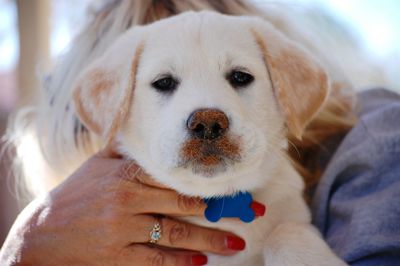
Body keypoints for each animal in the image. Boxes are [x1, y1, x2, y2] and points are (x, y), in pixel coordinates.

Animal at [72, 10, 346, 266]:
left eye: (240, 77)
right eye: (164, 82)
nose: (207, 124)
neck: (217, 200)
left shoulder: (292, 212)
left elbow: (286, 232)